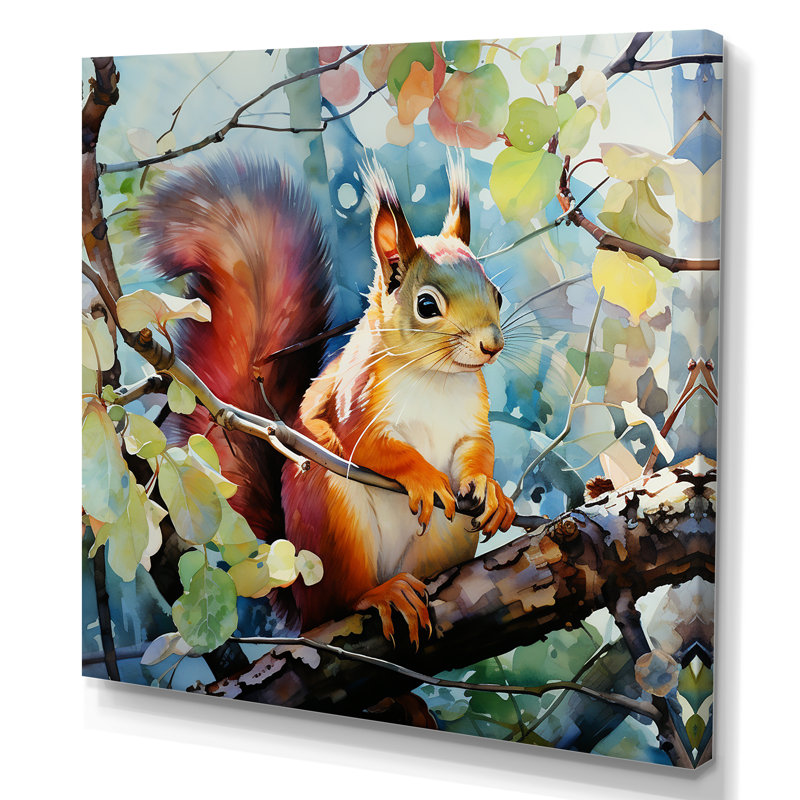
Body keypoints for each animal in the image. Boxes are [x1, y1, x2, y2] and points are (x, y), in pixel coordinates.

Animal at [141, 152, 516, 647]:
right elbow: (370, 445)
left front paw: (490, 490)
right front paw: (425, 477)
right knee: (342, 598)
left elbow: (478, 449)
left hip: (442, 539)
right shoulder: (352, 401)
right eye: (427, 306)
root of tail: (300, 602)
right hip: (334, 520)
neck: (436, 378)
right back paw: (382, 594)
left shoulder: (471, 418)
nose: (492, 345)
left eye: (497, 294)